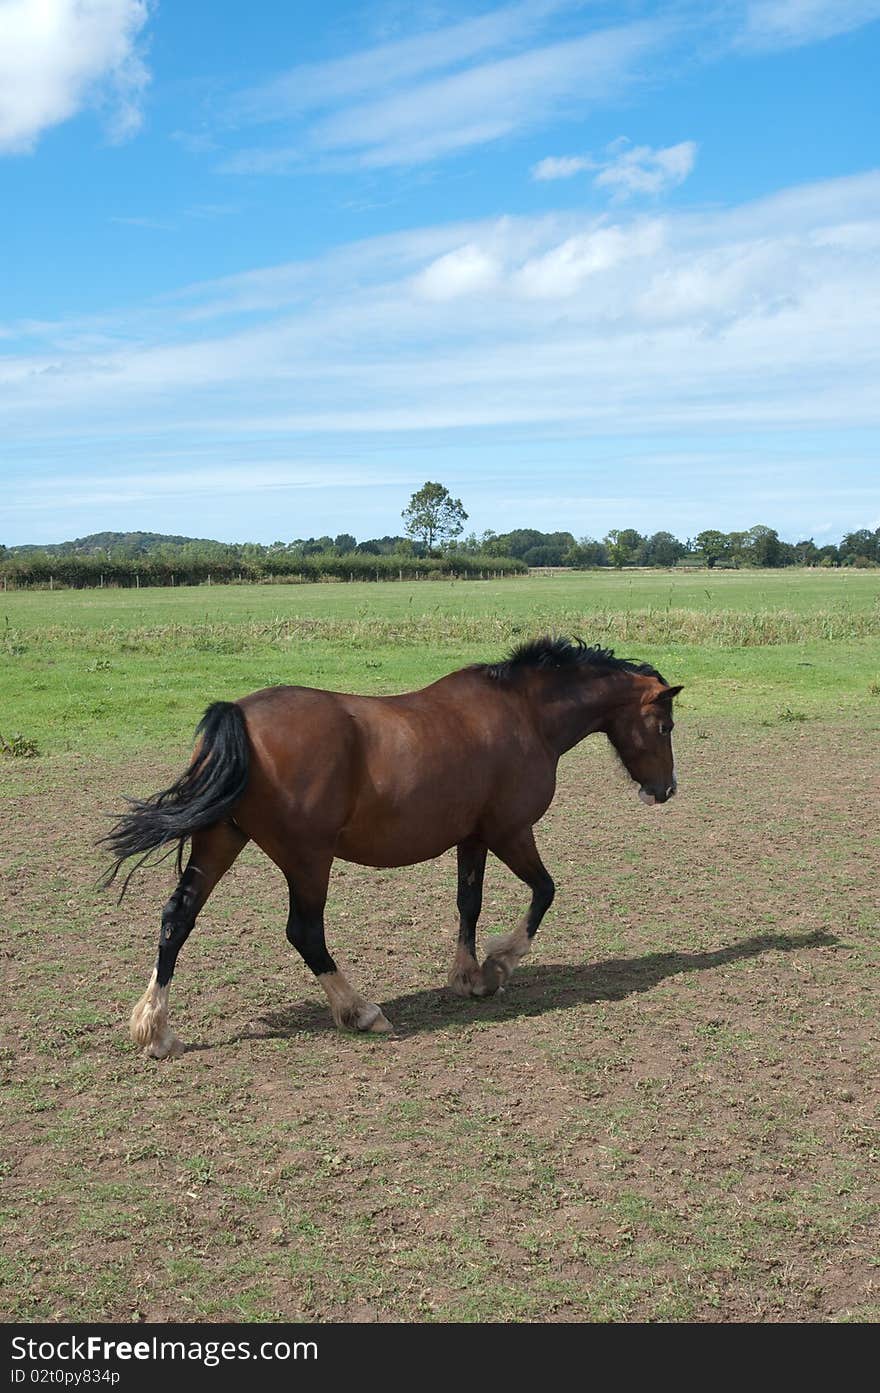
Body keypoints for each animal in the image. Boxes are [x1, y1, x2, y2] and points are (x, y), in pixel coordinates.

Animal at [103, 637, 679, 1053]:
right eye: (665, 725)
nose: (666, 790)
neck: (525, 714)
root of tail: (238, 715)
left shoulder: (472, 838)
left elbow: (469, 903)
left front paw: (467, 976)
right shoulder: (510, 832)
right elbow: (545, 891)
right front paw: (499, 965)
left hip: (222, 839)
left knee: (178, 917)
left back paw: (156, 1030)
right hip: (307, 858)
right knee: (304, 932)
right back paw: (361, 1011)